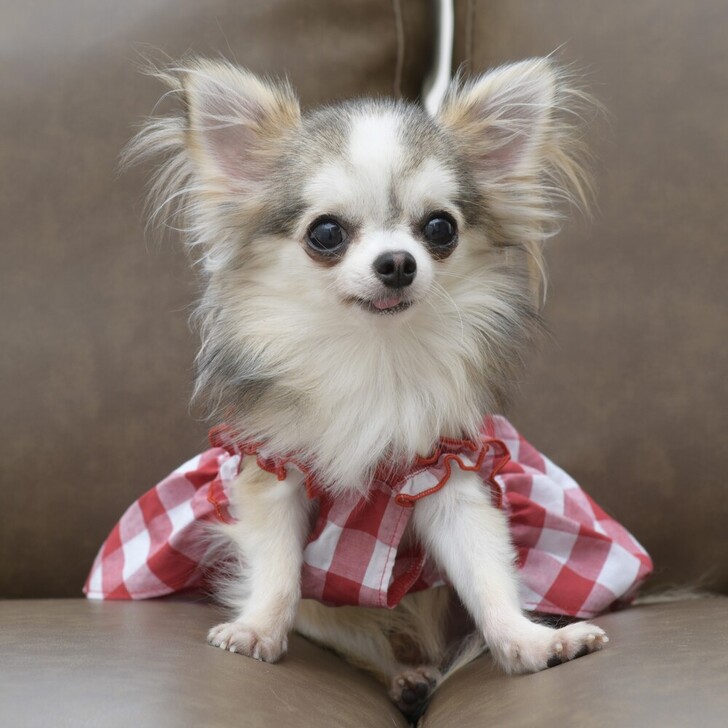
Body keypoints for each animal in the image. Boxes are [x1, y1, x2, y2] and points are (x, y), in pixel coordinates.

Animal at [127, 56, 606, 716]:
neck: (375, 356)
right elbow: (277, 570)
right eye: (326, 233)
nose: (398, 263)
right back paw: (405, 677)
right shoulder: (273, 472)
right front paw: (257, 631)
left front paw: (527, 642)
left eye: (440, 228)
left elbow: (486, 573)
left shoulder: (447, 476)